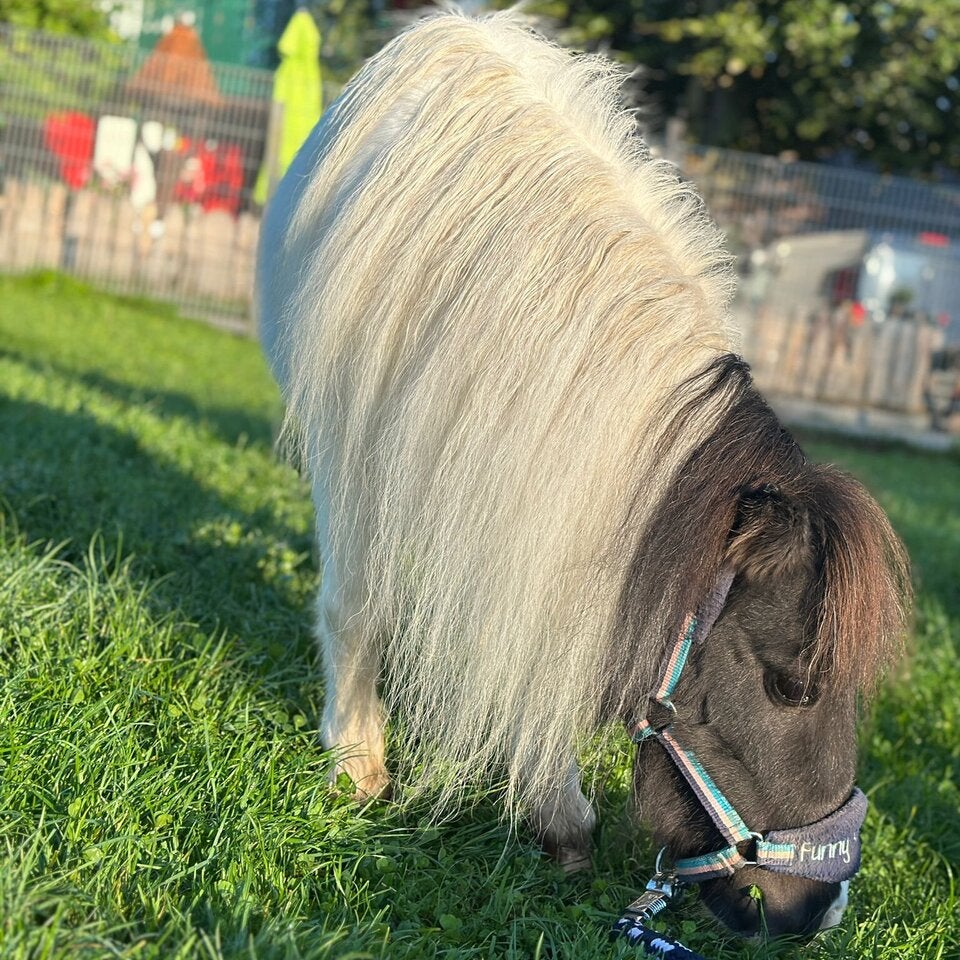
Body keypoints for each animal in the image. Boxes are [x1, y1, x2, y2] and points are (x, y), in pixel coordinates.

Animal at [256, 11, 909, 938]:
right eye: (790, 687)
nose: (820, 908)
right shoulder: (358, 458)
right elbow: (359, 608)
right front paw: (358, 764)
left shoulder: (564, 509)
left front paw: (549, 808)